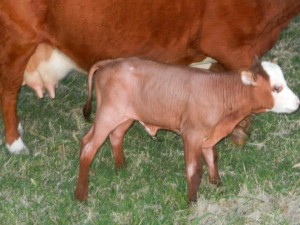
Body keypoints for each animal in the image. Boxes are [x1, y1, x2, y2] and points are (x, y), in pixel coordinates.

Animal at [74, 57, 298, 203]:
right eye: (276, 88)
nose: (297, 102)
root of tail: (109, 62)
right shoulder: (192, 134)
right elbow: (194, 170)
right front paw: (192, 201)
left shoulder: (208, 135)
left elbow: (212, 158)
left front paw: (217, 184)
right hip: (107, 115)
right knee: (88, 146)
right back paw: (81, 195)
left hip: (125, 117)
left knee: (115, 136)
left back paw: (121, 168)